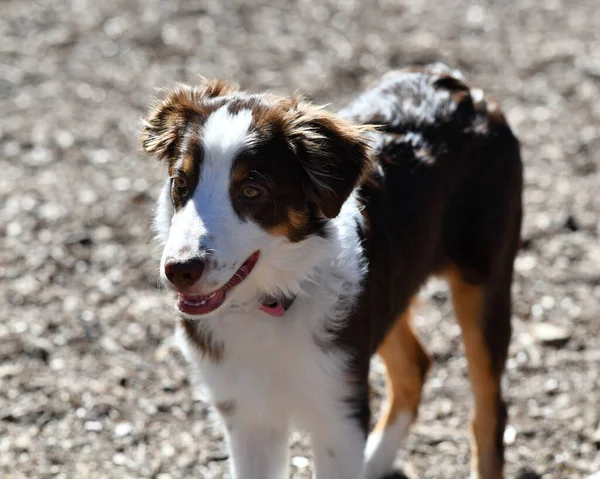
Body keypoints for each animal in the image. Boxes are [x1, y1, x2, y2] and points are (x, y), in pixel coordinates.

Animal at [141, 64, 520, 479]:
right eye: (180, 182)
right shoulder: (246, 413)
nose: (179, 270)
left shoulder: (338, 410)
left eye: (252, 191)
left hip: (484, 280)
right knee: (415, 365)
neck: (270, 304)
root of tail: (454, 81)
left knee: (488, 408)